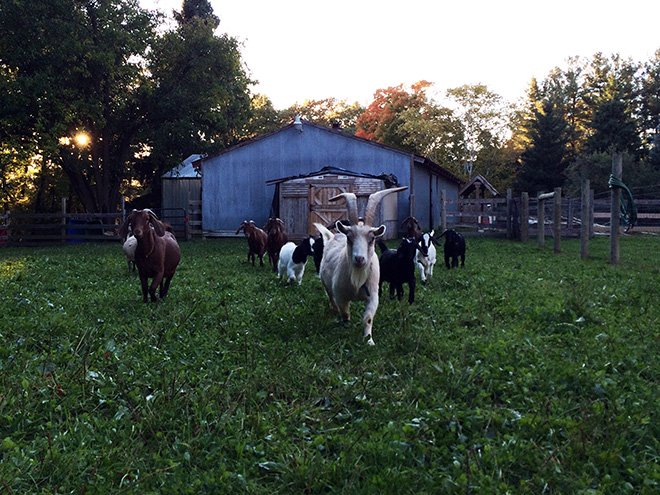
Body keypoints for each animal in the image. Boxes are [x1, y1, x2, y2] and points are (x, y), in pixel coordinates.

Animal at [315, 186, 407, 345]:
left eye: (372, 239)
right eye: (349, 238)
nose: (359, 258)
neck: (357, 278)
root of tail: (332, 236)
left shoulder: (373, 296)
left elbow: (368, 318)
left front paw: (369, 340)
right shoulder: (341, 295)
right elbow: (345, 314)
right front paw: (346, 329)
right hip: (325, 283)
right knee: (330, 297)